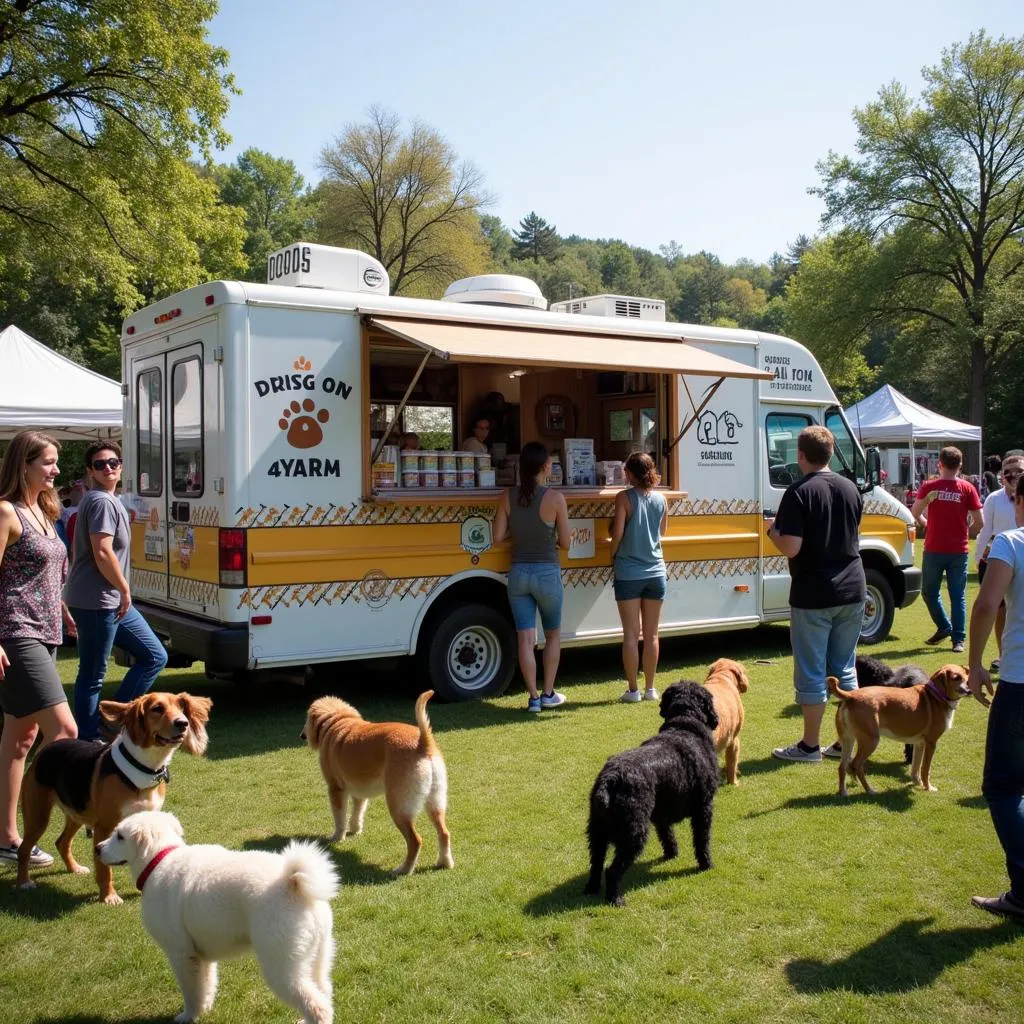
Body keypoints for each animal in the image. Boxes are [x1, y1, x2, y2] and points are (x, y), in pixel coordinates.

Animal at [17, 688, 210, 905]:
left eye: (181, 707)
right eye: (157, 709)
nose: (182, 723)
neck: (144, 768)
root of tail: (45, 750)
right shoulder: (104, 827)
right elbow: (104, 869)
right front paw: (109, 896)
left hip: (76, 812)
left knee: (62, 842)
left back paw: (75, 868)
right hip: (38, 816)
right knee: (23, 850)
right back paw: (23, 882)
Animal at [299, 688, 452, 872]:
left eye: (307, 719)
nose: (301, 736)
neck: (338, 721)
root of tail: (424, 742)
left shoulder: (335, 788)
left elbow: (340, 817)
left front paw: (337, 837)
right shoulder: (358, 791)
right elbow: (357, 812)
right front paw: (355, 830)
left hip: (398, 807)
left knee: (415, 841)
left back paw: (404, 869)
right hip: (435, 803)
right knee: (444, 833)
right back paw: (445, 862)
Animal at [585, 679, 720, 905]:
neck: (683, 726)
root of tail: (609, 779)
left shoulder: (661, 815)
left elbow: (667, 835)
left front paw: (671, 854)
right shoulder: (704, 808)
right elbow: (702, 841)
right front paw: (706, 864)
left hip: (597, 833)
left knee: (595, 864)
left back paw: (591, 889)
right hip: (633, 833)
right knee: (612, 871)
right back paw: (615, 899)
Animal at [831, 663, 966, 798]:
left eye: (966, 676)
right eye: (956, 678)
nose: (968, 690)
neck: (935, 695)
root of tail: (851, 695)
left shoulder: (919, 744)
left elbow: (916, 768)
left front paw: (917, 783)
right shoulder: (931, 743)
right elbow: (925, 769)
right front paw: (928, 787)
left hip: (848, 740)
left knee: (842, 766)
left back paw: (843, 791)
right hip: (870, 741)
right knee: (856, 765)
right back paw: (869, 790)